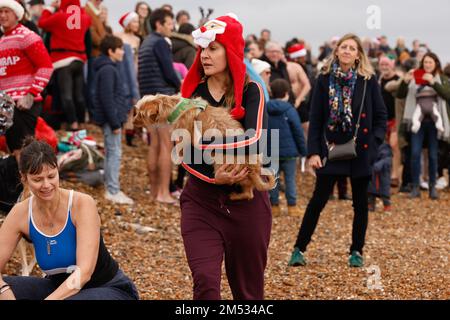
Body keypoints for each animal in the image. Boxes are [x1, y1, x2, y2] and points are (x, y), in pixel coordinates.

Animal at [134, 94, 274, 201]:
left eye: (141, 115)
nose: (133, 121)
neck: (172, 106)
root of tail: (253, 170)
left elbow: (181, 147)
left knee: (248, 193)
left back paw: (234, 196)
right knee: (249, 193)